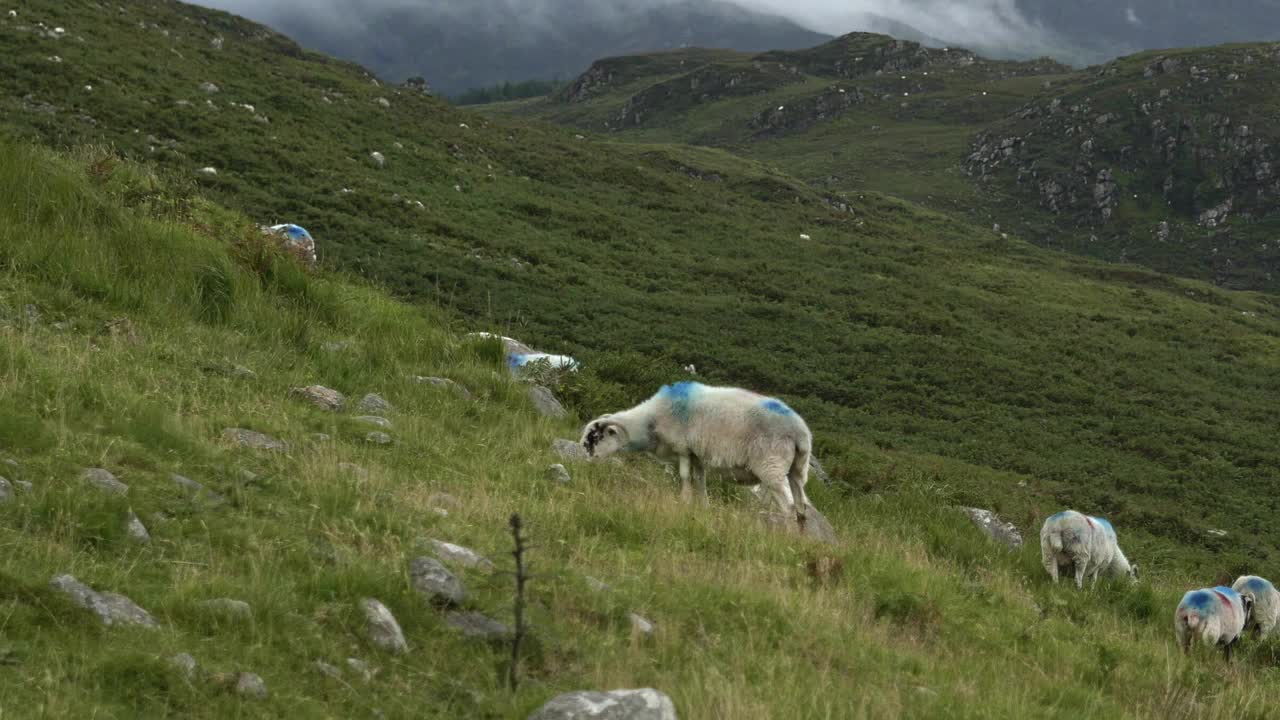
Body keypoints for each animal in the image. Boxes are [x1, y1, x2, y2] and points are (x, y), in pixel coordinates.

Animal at [578, 381, 814, 527]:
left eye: (595, 437)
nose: (584, 460)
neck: (650, 423)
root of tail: (801, 432)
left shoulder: (683, 449)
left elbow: (685, 477)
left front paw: (683, 501)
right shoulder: (697, 456)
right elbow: (700, 482)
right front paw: (703, 508)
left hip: (770, 465)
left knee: (788, 506)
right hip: (797, 469)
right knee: (801, 506)